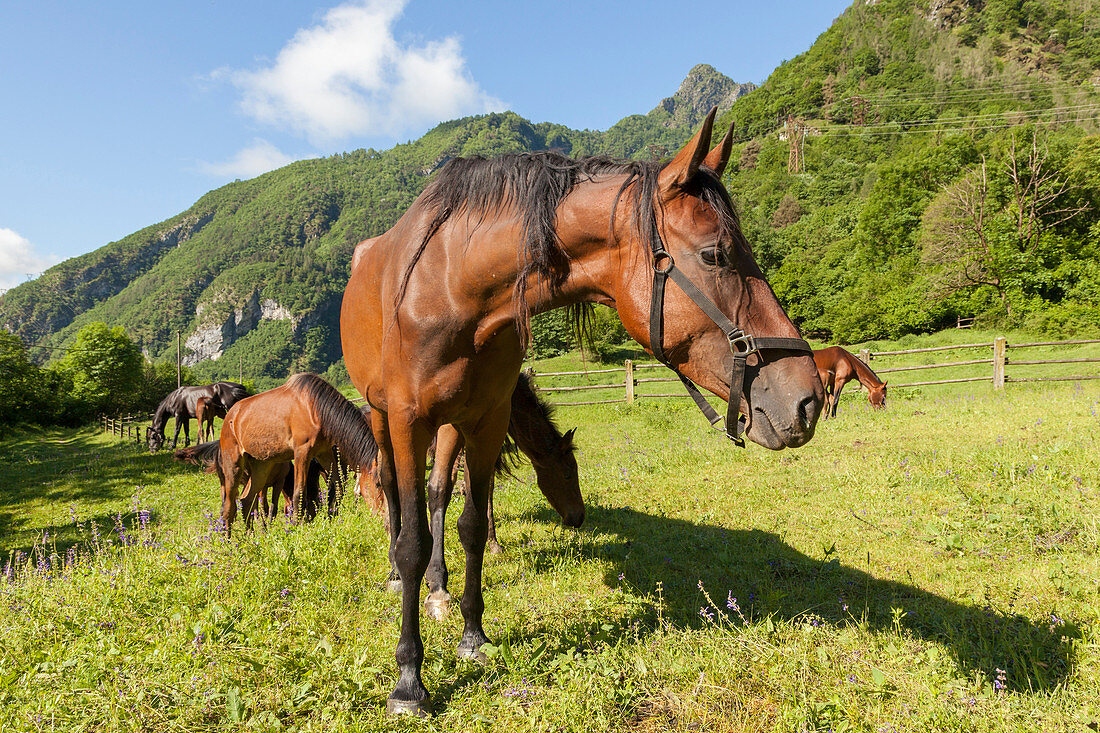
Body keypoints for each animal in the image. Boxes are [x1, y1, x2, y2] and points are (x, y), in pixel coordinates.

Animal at [171, 374, 374, 534]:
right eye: (378, 483)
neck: (315, 408)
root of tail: (231, 415)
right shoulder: (302, 453)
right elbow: (299, 494)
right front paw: (296, 529)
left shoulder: (324, 453)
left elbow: (337, 486)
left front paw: (332, 519)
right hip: (233, 466)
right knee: (229, 506)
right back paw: (229, 543)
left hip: (260, 468)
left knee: (246, 500)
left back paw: (251, 537)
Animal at [338, 108, 822, 713]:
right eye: (715, 254)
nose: (808, 398)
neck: (453, 285)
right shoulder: (411, 420)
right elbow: (412, 543)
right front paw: (409, 678)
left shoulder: (485, 420)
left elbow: (471, 524)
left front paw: (473, 635)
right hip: (382, 417)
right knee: (392, 494)